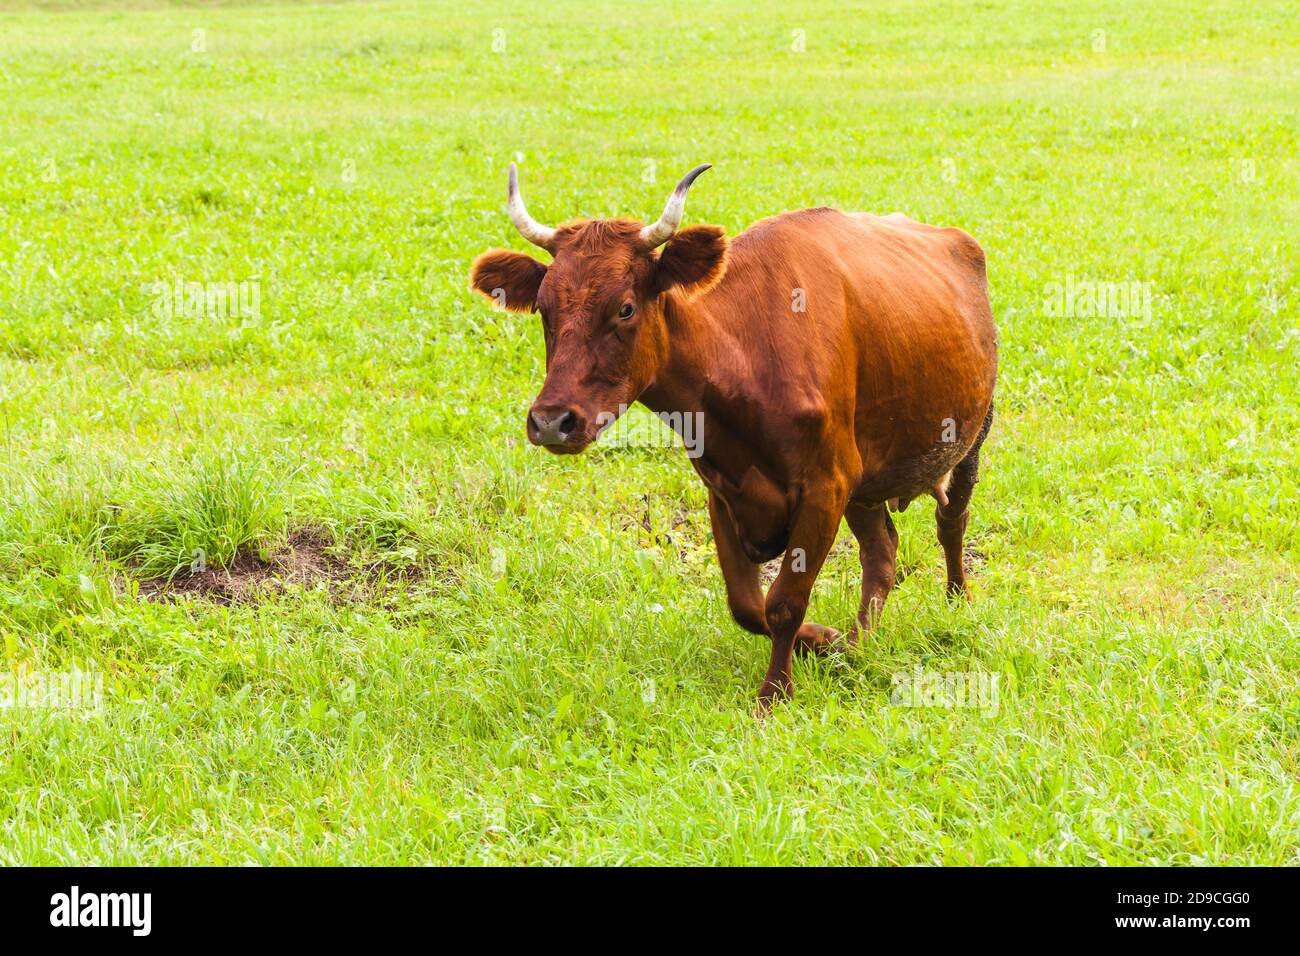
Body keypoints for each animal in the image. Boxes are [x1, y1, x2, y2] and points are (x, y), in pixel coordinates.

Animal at [470, 164, 993, 712]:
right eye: (544, 310)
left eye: (626, 308)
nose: (553, 420)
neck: (745, 355)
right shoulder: (725, 488)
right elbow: (747, 605)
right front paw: (822, 641)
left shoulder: (825, 484)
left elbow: (784, 601)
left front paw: (774, 694)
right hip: (867, 483)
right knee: (882, 553)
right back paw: (858, 644)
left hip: (970, 436)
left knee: (951, 521)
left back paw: (957, 601)